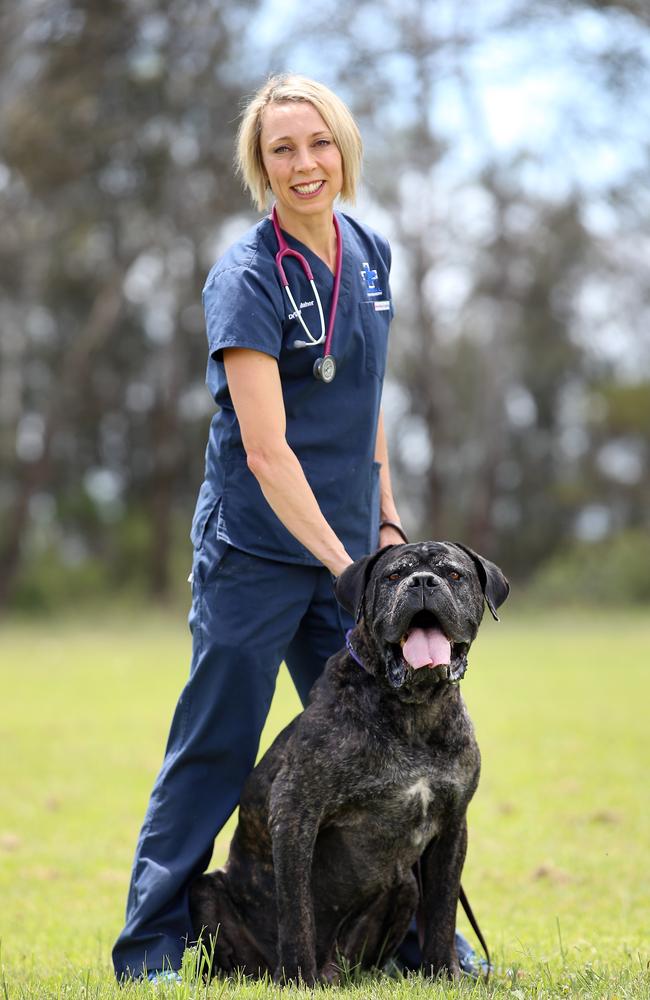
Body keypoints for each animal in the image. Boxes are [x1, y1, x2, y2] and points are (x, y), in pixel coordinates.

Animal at [187, 544, 506, 980]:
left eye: (454, 575)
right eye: (393, 576)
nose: (423, 582)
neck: (414, 710)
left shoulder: (452, 825)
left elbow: (443, 910)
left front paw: (445, 972)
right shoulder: (294, 811)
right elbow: (297, 908)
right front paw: (297, 980)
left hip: (404, 887)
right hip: (206, 891)